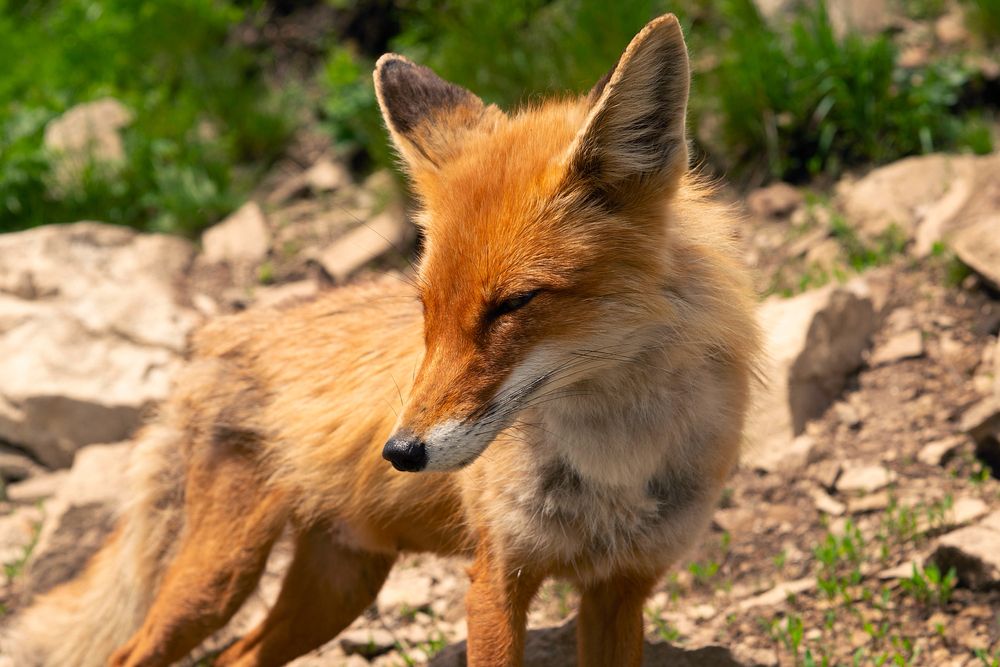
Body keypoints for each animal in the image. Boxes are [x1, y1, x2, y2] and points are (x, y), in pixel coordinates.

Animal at [4, 13, 760, 667]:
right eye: (426, 308)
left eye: (513, 304)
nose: (400, 452)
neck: (615, 456)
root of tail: (218, 334)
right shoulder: (497, 576)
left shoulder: (620, 586)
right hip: (218, 579)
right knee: (135, 651)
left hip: (339, 586)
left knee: (237, 657)